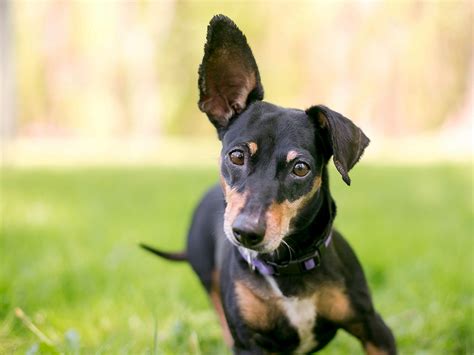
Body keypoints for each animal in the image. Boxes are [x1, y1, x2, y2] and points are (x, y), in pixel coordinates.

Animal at [141, 14, 396, 355]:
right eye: (236, 156)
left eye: (300, 168)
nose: (246, 232)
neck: (288, 267)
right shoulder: (248, 343)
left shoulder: (374, 328)